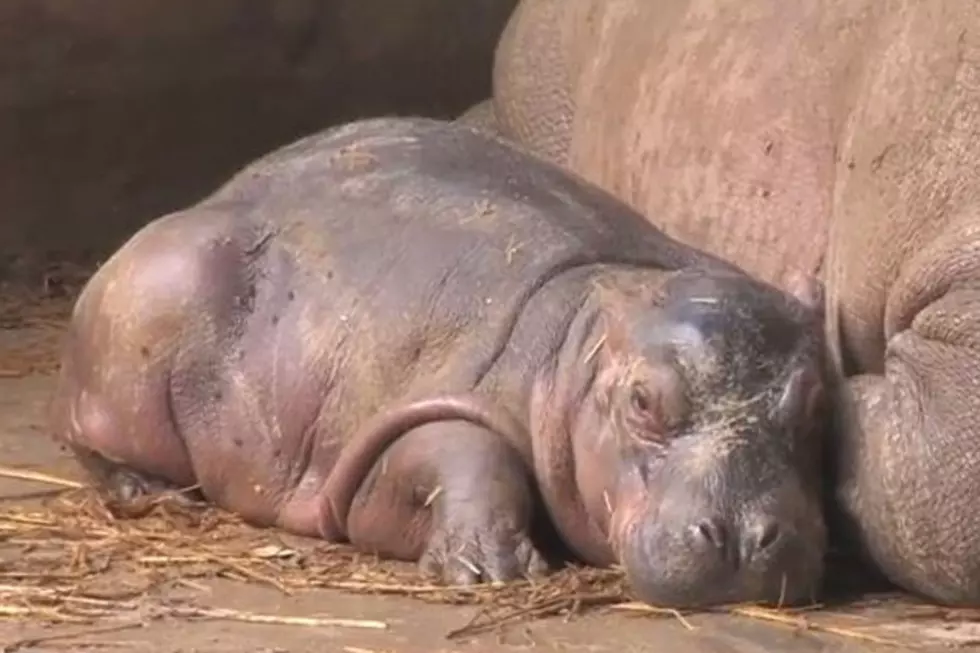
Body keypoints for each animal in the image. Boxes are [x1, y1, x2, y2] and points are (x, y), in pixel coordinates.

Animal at [47, 116, 828, 608]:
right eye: (642, 400)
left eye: (815, 403)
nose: (743, 536)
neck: (582, 341)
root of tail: (207, 197)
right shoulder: (408, 412)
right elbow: (463, 451)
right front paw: (489, 568)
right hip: (142, 320)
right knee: (89, 436)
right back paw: (148, 491)